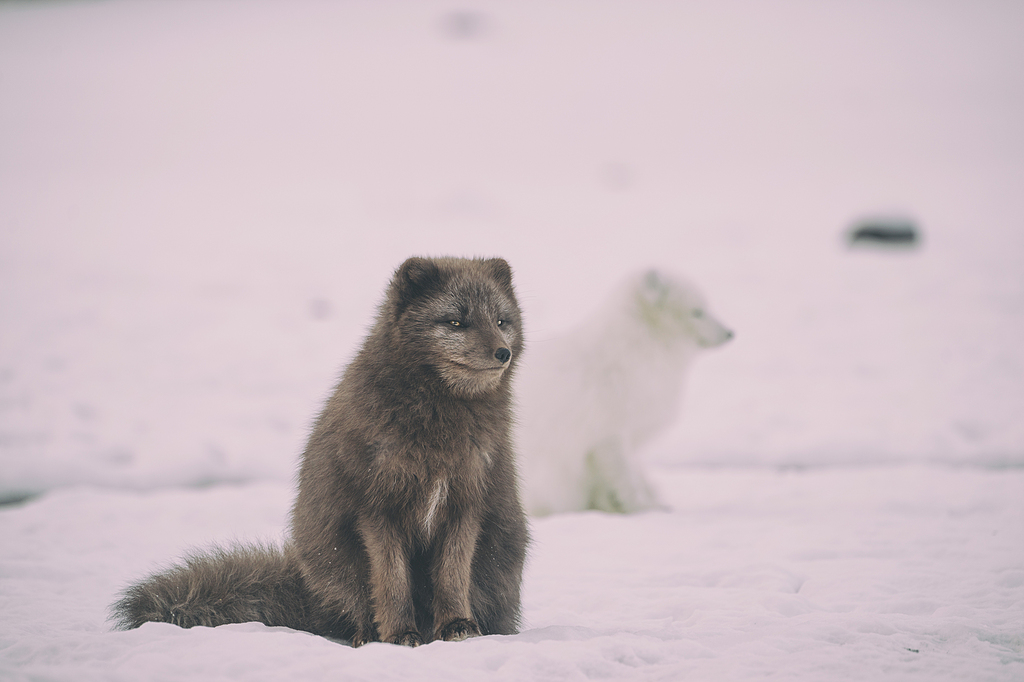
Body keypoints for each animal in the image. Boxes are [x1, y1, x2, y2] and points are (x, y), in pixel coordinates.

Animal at [111, 254, 528, 643]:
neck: (439, 427)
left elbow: (452, 576)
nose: (502, 353)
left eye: (501, 321)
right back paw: (368, 635)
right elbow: (391, 582)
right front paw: (398, 635)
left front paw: (458, 625)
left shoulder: (465, 504)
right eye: (456, 322)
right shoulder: (377, 509)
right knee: (357, 606)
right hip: (333, 555)